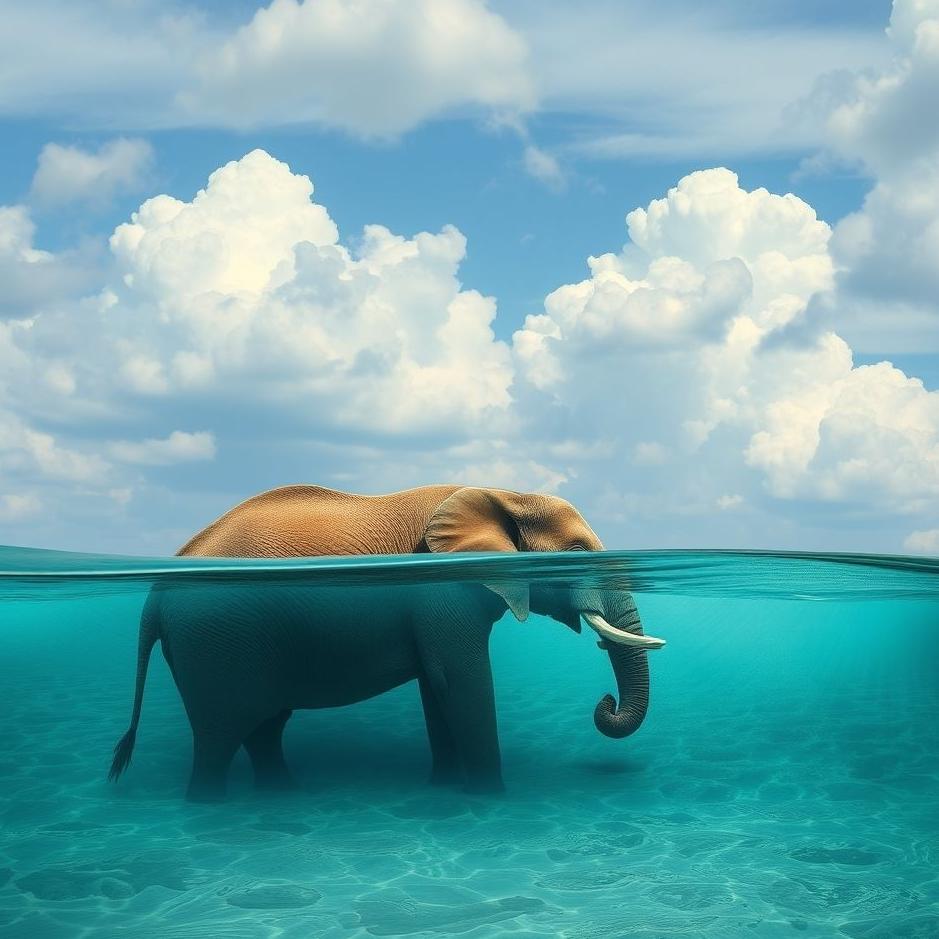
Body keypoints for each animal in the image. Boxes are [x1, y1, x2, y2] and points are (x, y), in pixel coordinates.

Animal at [109, 485, 664, 801]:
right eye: (578, 551)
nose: (605, 702)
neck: (501, 489)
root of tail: (153, 598)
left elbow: (437, 688)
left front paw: (446, 790)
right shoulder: (442, 591)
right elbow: (460, 680)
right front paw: (493, 798)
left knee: (263, 727)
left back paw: (282, 795)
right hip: (215, 643)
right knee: (220, 737)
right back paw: (209, 809)